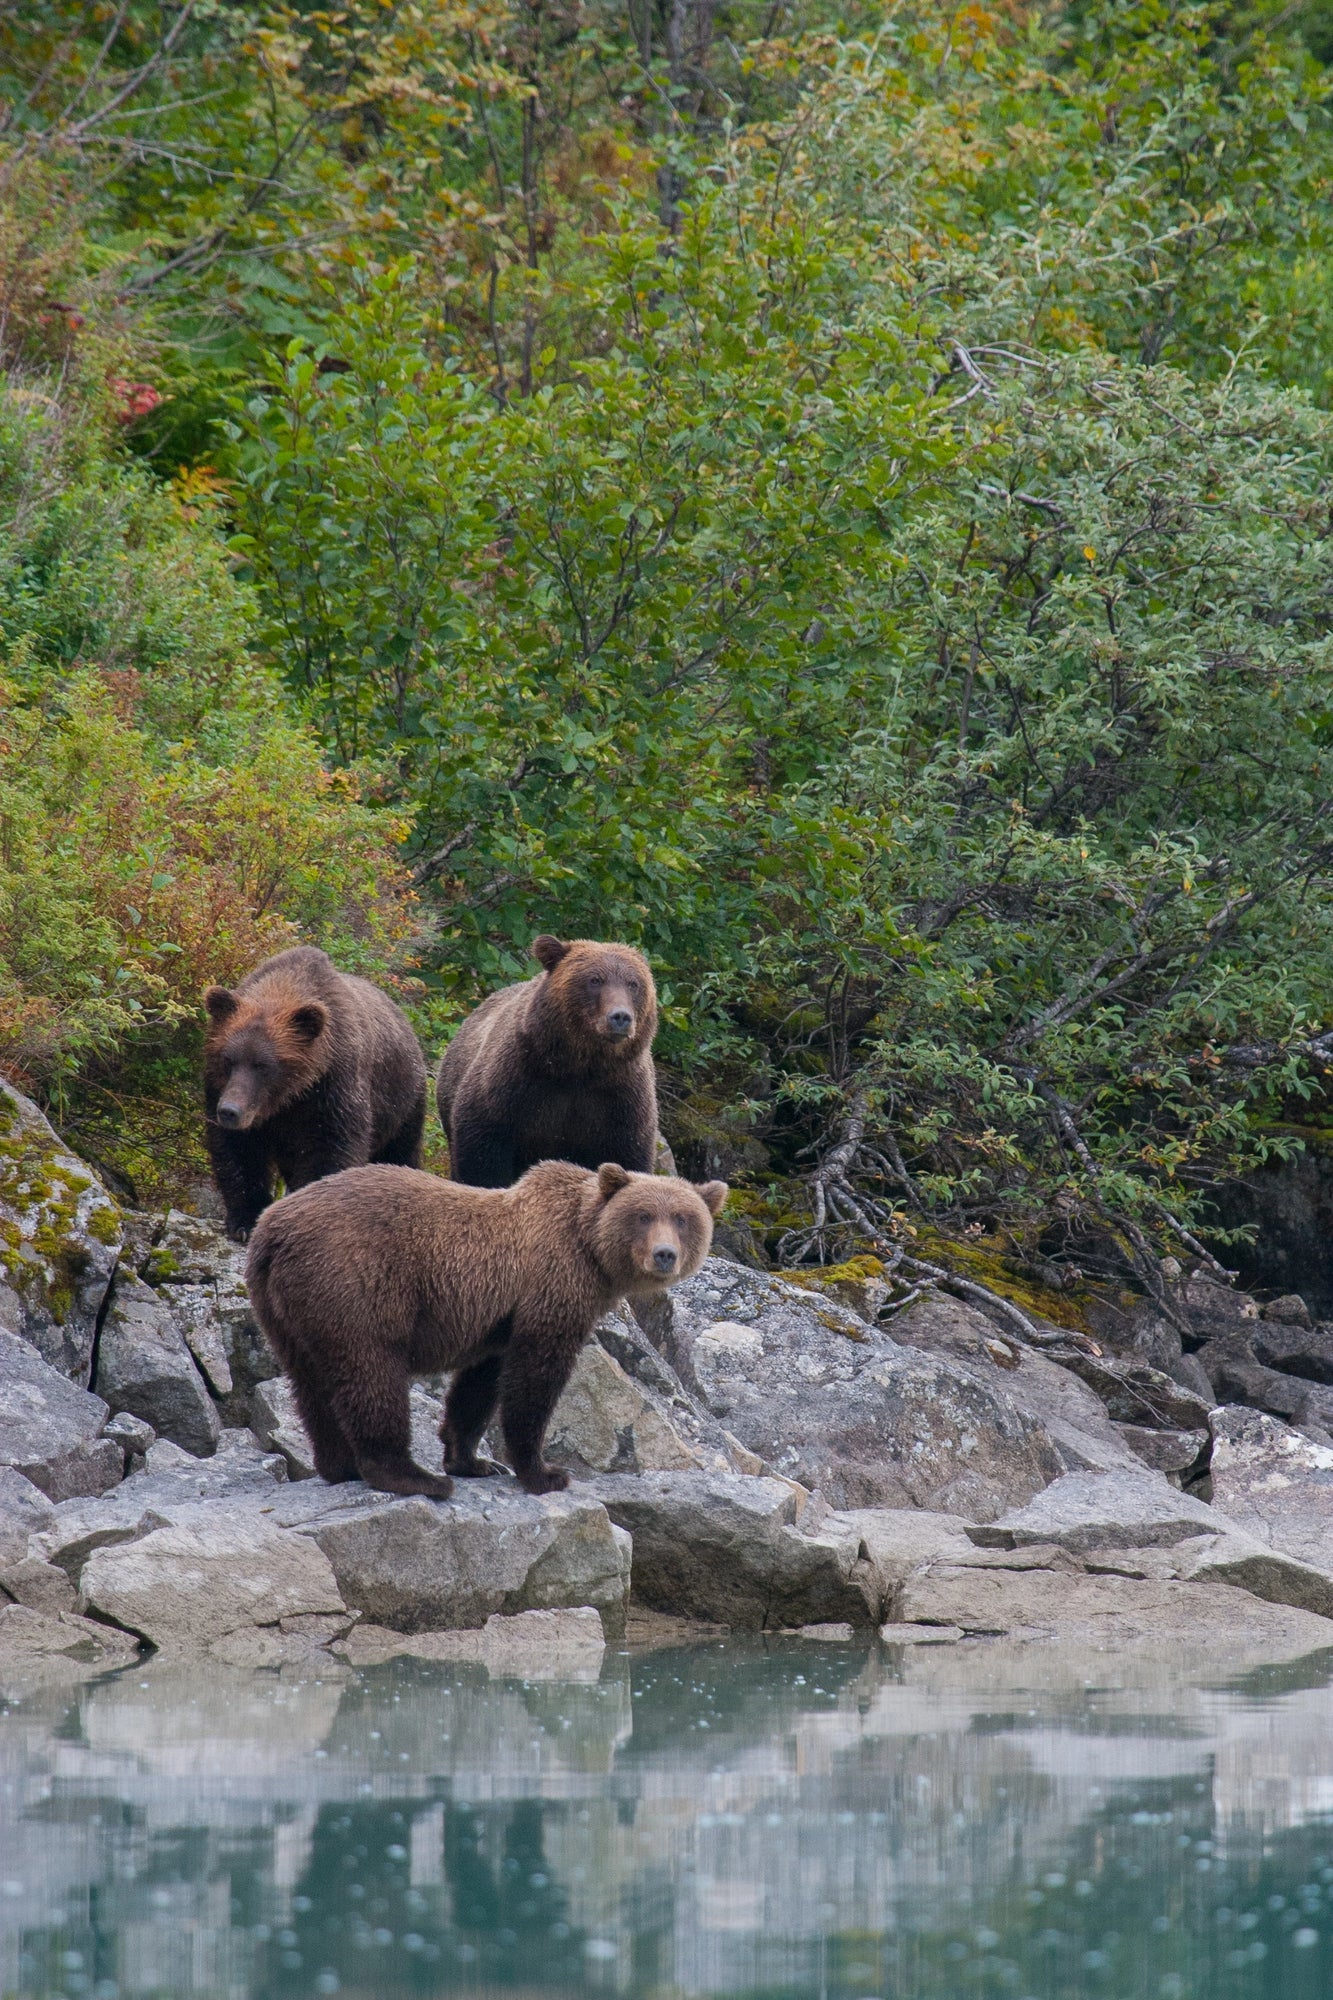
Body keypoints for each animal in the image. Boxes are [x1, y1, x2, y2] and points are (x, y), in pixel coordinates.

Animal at [202, 944, 426, 1240]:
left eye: (263, 1065)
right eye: (228, 1059)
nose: (229, 1111)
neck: (289, 1096)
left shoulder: (332, 1089)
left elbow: (329, 1148)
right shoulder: (222, 1090)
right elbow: (239, 1151)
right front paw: (245, 1220)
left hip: (402, 1104)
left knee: (400, 1151)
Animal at [249, 1160, 728, 1504]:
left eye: (683, 1218)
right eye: (644, 1215)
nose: (664, 1255)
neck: (590, 1251)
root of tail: (271, 1229)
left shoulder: (498, 1319)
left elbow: (480, 1384)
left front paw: (472, 1461)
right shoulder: (551, 1287)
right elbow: (535, 1378)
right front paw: (544, 1471)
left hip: (285, 1309)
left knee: (308, 1381)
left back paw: (339, 1465)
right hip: (353, 1281)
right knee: (371, 1371)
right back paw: (412, 1477)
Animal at [434, 936, 656, 1184]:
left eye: (633, 983)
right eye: (595, 980)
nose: (620, 1017)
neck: (580, 1068)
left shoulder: (620, 1101)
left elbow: (628, 1154)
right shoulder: (514, 1082)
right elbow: (483, 1149)